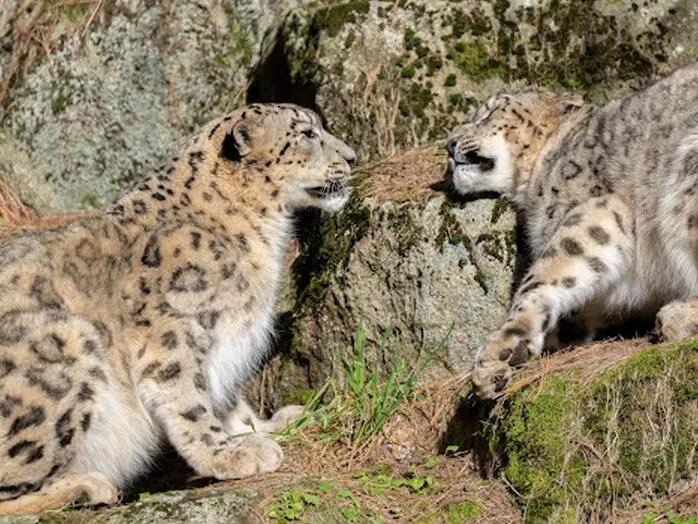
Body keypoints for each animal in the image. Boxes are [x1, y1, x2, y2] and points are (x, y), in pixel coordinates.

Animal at [0, 103, 356, 514]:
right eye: (307, 134)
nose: (352, 157)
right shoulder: (174, 334)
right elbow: (191, 402)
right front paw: (230, 455)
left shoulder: (224, 348)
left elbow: (227, 401)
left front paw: (267, 426)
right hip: (67, 343)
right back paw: (88, 486)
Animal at [446, 61, 698, 399]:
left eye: (490, 112)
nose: (449, 144)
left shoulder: (596, 209)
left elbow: (543, 276)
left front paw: (500, 354)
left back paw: (674, 317)